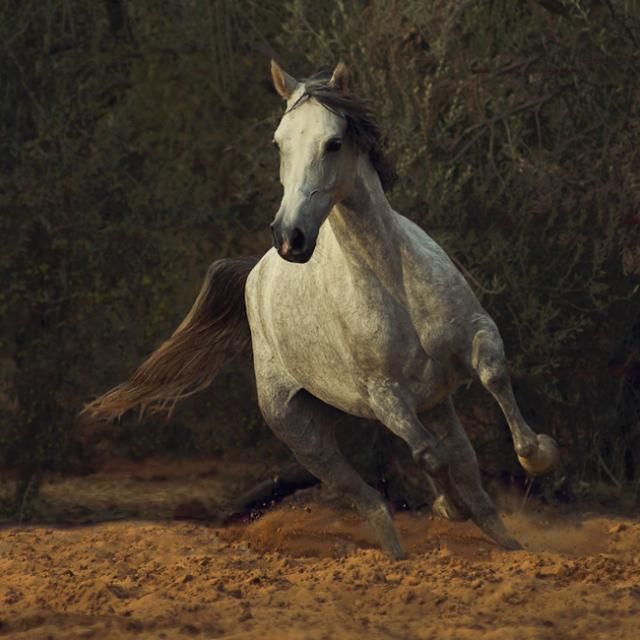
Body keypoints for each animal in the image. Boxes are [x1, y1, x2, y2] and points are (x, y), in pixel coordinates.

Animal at [85, 60, 559, 559]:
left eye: (333, 143)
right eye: (279, 143)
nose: (290, 237)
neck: (394, 282)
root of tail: (256, 270)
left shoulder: (476, 333)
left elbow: (493, 377)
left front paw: (539, 455)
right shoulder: (385, 397)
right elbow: (427, 454)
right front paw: (448, 507)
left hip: (434, 403)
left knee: (470, 475)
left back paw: (511, 546)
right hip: (303, 434)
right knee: (370, 499)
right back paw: (403, 550)